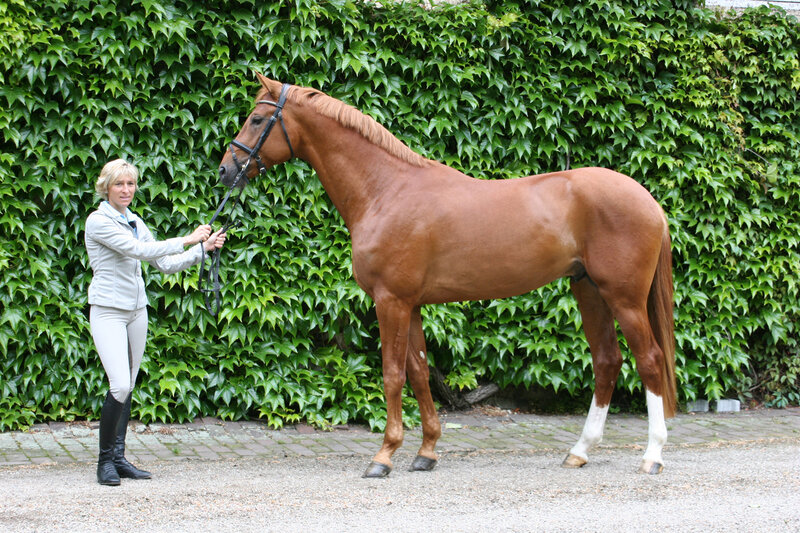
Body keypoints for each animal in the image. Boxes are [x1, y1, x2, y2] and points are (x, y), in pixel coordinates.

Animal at [217, 74, 677, 478]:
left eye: (257, 119)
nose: (225, 170)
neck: (387, 190)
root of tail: (649, 201)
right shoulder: (412, 304)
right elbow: (420, 373)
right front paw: (426, 452)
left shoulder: (390, 301)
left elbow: (392, 375)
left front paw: (384, 457)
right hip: (589, 291)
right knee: (607, 361)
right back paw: (579, 452)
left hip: (624, 298)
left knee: (650, 360)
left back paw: (652, 456)